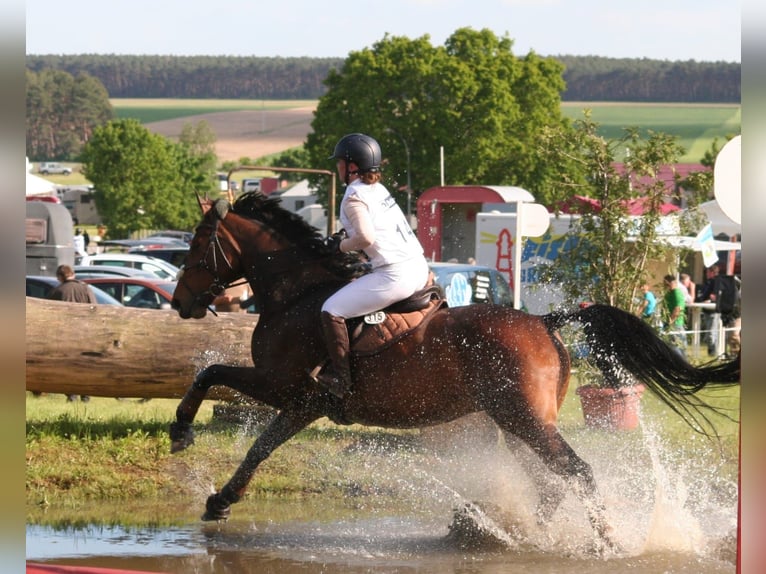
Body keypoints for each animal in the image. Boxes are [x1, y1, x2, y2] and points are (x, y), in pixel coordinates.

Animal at [171, 192, 740, 552]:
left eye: (197, 245)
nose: (179, 303)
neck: (297, 292)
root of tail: (543, 320)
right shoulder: (302, 403)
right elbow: (256, 442)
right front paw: (220, 499)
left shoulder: (287, 388)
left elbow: (214, 380)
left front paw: (182, 434)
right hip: (517, 422)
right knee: (551, 482)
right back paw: (515, 533)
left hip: (522, 419)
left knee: (575, 473)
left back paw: (601, 543)